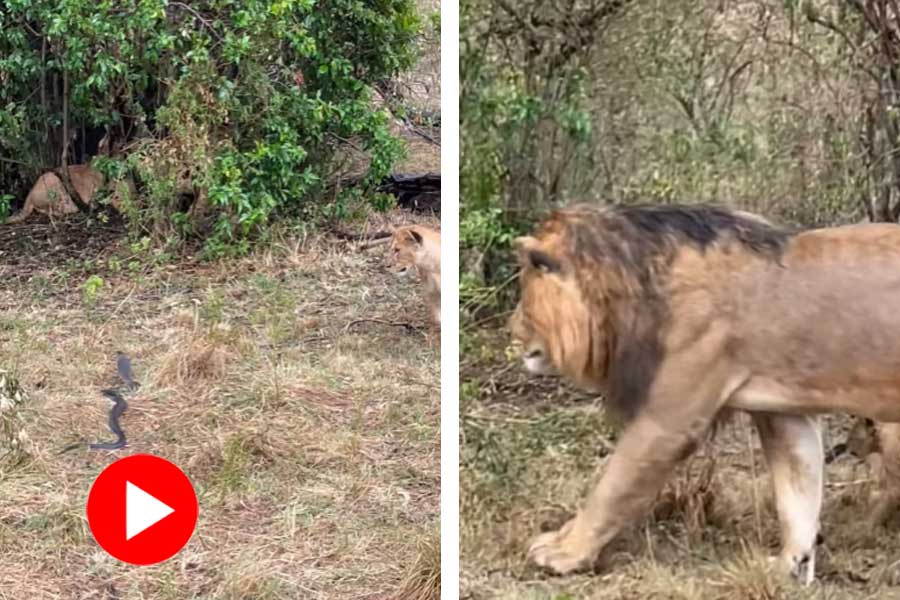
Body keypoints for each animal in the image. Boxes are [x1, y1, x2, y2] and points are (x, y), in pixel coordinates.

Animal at [510, 203, 900, 584]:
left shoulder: (669, 420)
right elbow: (798, 491)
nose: (511, 329)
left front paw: (565, 552)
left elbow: (613, 487)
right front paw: (789, 568)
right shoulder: (783, 416)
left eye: (525, 291)